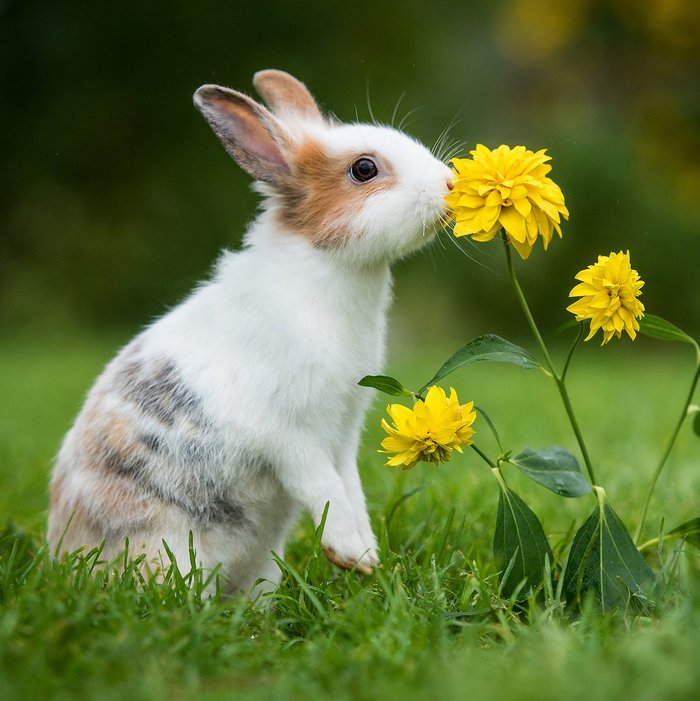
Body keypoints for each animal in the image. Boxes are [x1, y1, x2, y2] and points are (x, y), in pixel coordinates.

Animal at [47, 68, 454, 592]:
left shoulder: (343, 433)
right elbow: (322, 486)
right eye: (364, 169)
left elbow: (349, 487)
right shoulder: (291, 434)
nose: (449, 183)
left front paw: (365, 555)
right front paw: (353, 554)